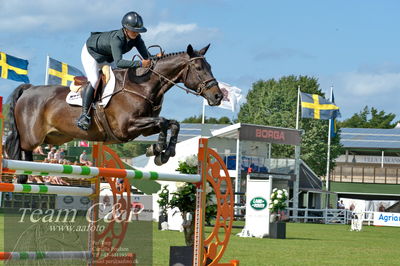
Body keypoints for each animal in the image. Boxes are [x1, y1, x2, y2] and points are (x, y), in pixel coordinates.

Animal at [4, 44, 223, 184]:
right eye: (198, 68)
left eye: (210, 67)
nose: (218, 96)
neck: (142, 85)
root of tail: (29, 89)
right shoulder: (127, 127)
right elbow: (163, 122)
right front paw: (158, 149)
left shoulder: (144, 128)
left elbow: (172, 123)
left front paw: (164, 153)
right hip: (32, 137)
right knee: (22, 149)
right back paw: (21, 175)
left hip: (55, 136)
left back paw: (24, 176)